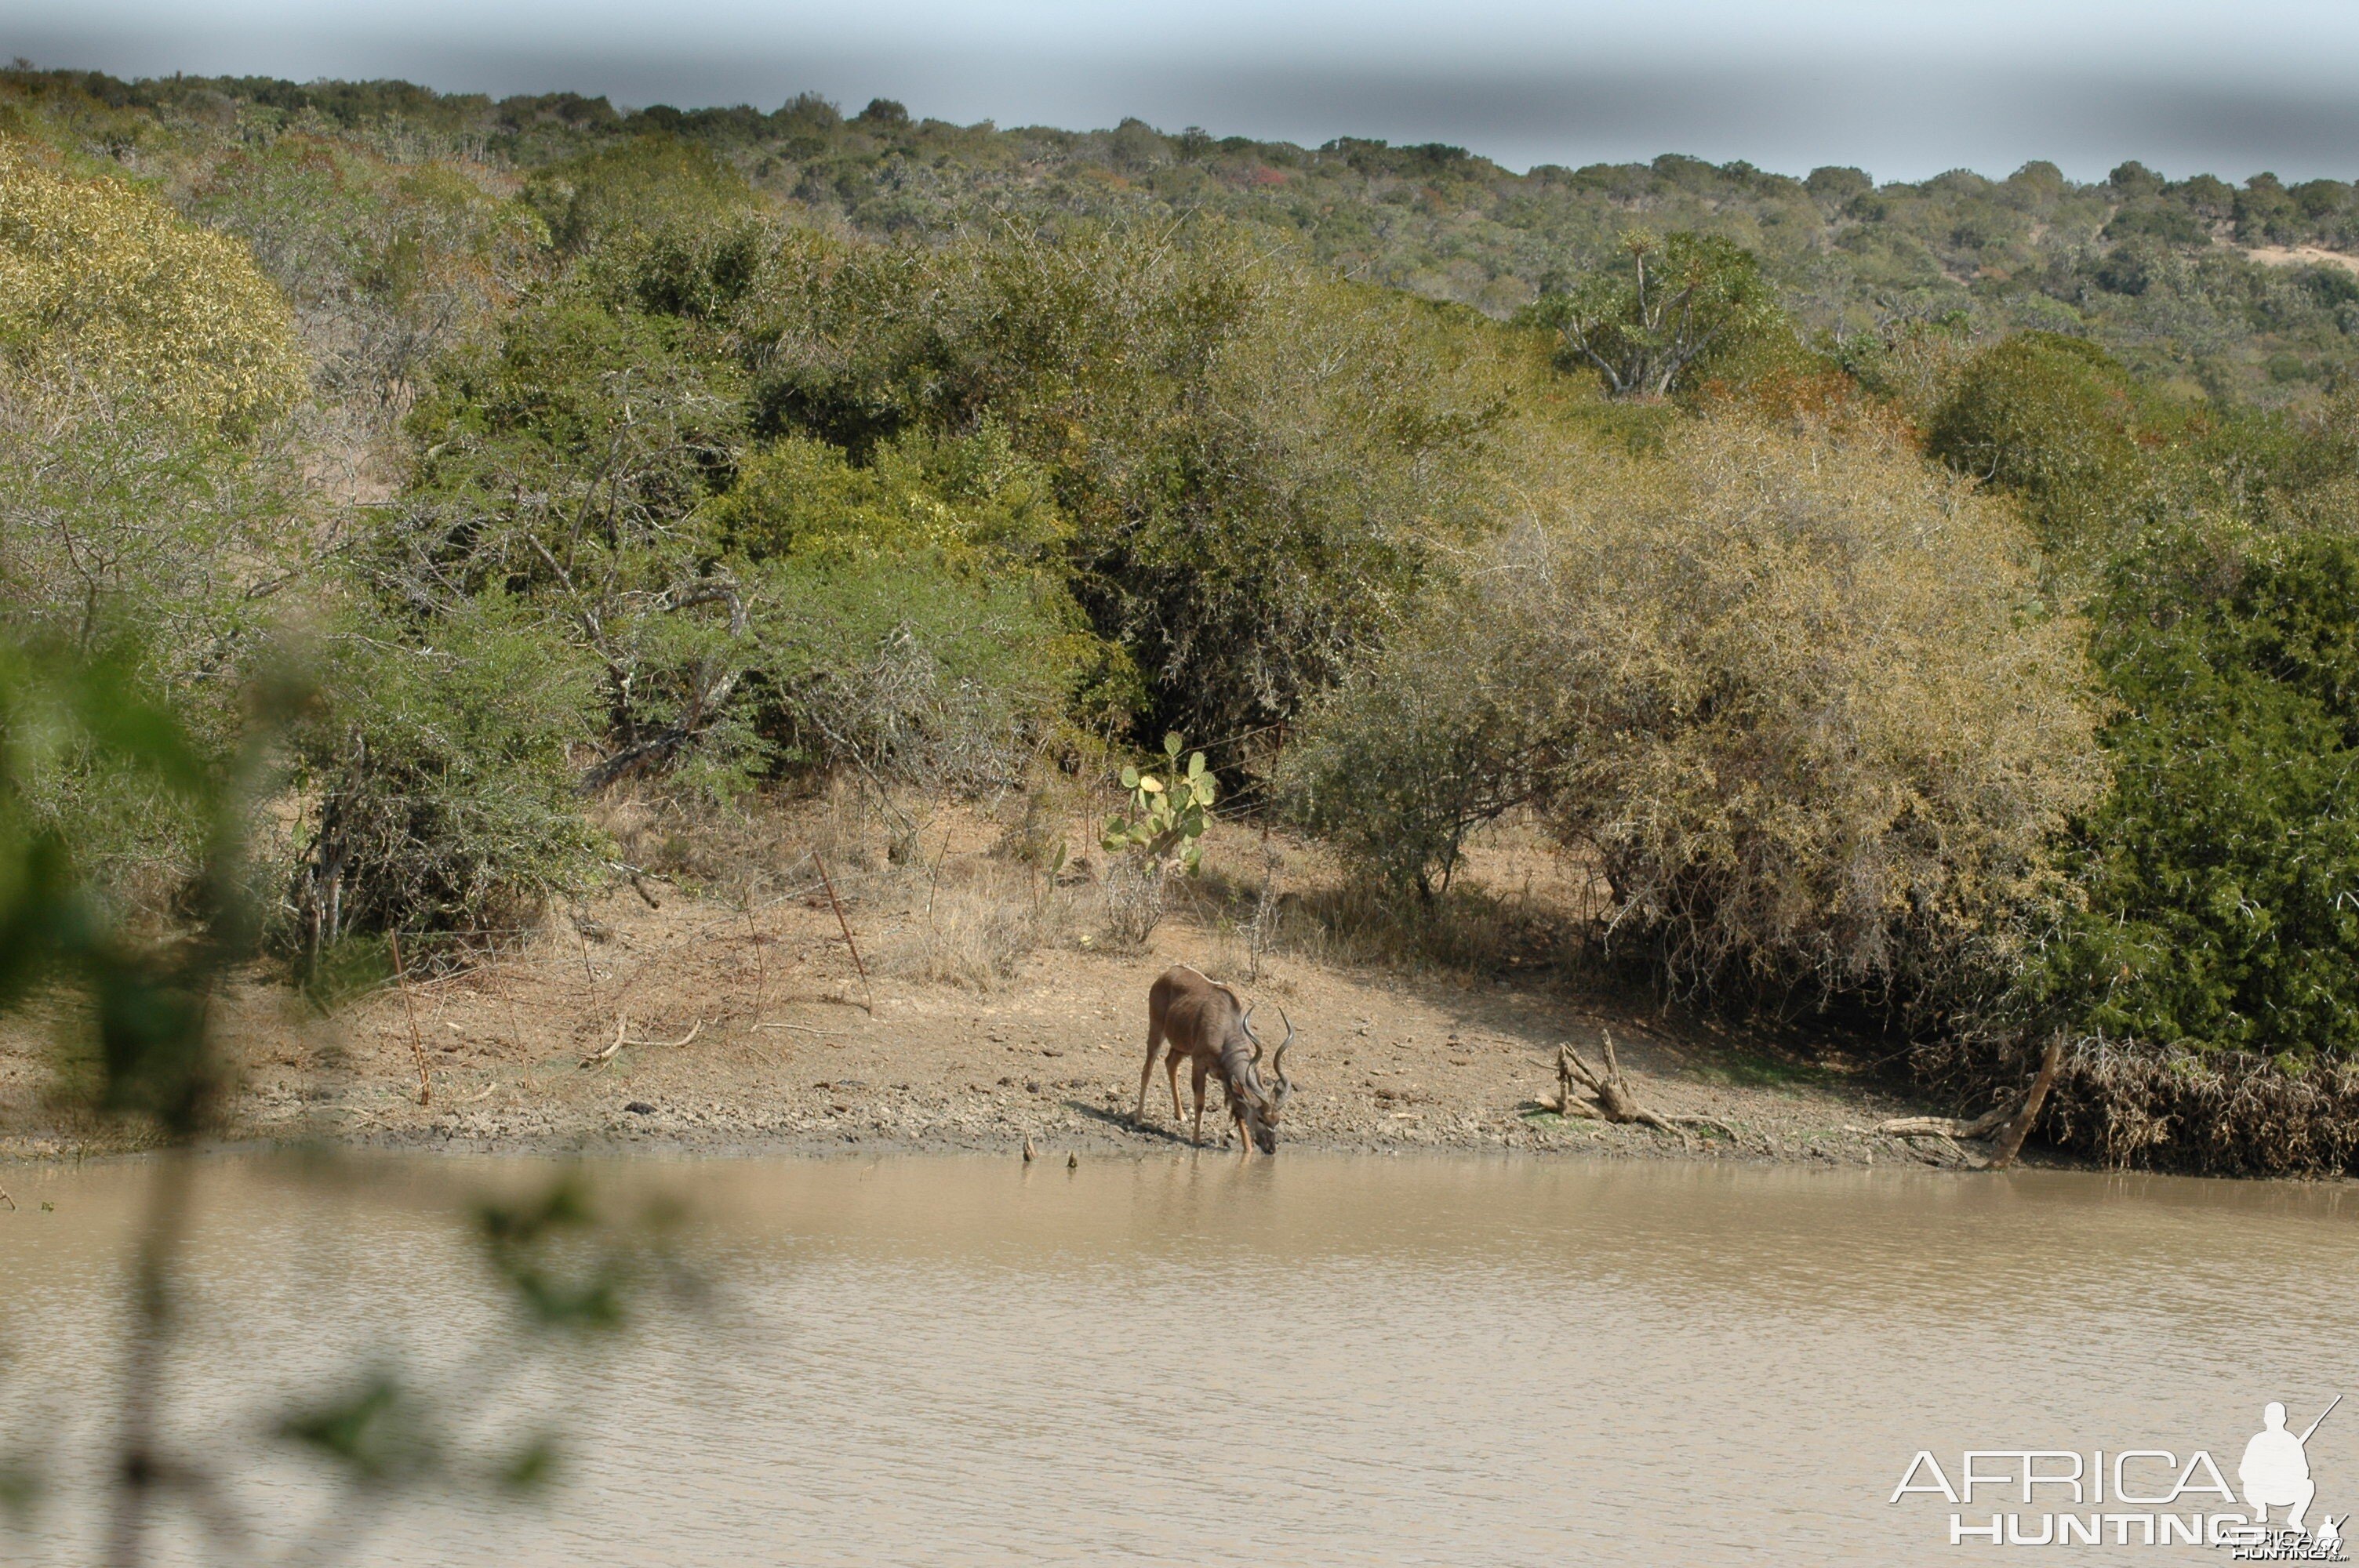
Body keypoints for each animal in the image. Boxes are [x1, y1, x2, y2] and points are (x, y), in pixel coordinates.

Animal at [1136, 962, 1302, 1155]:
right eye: (1261, 1118)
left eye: (1278, 1120)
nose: (1271, 1148)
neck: (1225, 1032)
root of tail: (1169, 972)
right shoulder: (1199, 1063)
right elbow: (1200, 1102)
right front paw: (1196, 1141)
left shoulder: (1226, 1077)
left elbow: (1238, 1111)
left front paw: (1248, 1149)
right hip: (1157, 1029)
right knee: (1147, 1069)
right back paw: (1138, 1119)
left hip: (1181, 1047)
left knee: (1170, 1063)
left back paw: (1181, 1115)